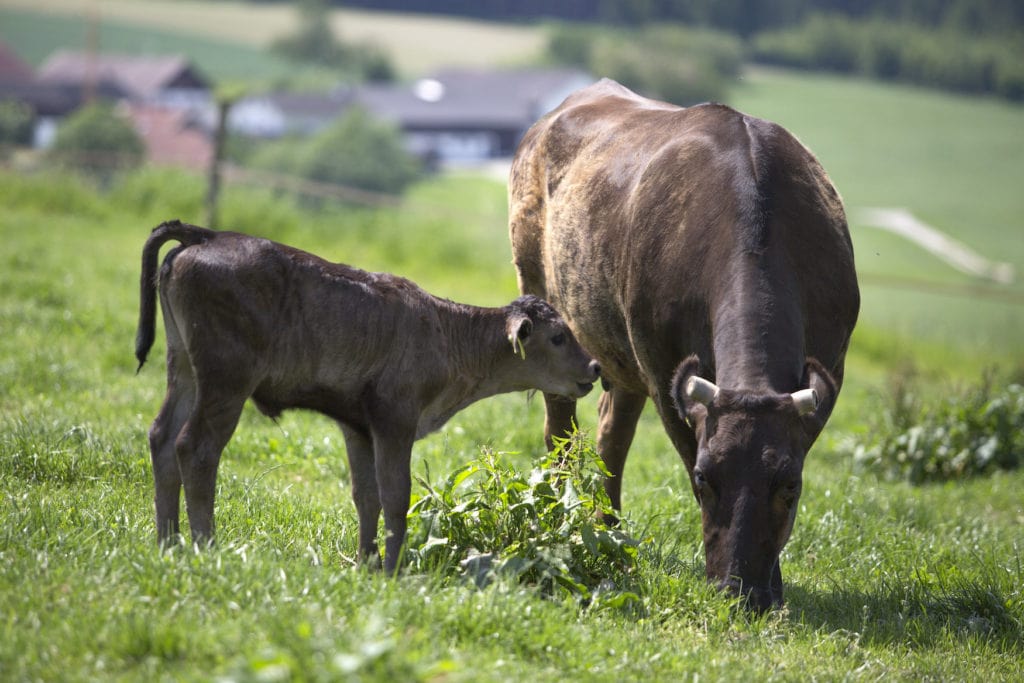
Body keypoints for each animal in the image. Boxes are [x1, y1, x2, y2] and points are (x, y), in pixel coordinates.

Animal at [509, 78, 856, 610]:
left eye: (789, 484)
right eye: (703, 478)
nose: (739, 590)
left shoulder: (829, 374)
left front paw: (772, 585)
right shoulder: (662, 371)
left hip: (619, 354)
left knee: (612, 437)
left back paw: (608, 530)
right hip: (545, 307)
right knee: (560, 433)